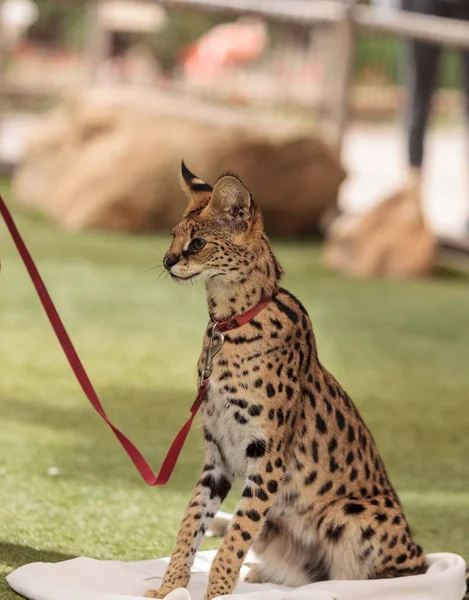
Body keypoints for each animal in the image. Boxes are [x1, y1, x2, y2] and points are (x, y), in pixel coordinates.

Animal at [144, 164, 430, 600]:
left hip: (350, 516)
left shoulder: (268, 455)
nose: (166, 260)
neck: (228, 325)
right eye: (173, 235)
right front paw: (171, 587)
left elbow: (237, 534)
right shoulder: (218, 456)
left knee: (395, 575)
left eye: (198, 243)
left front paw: (215, 593)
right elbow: (191, 523)